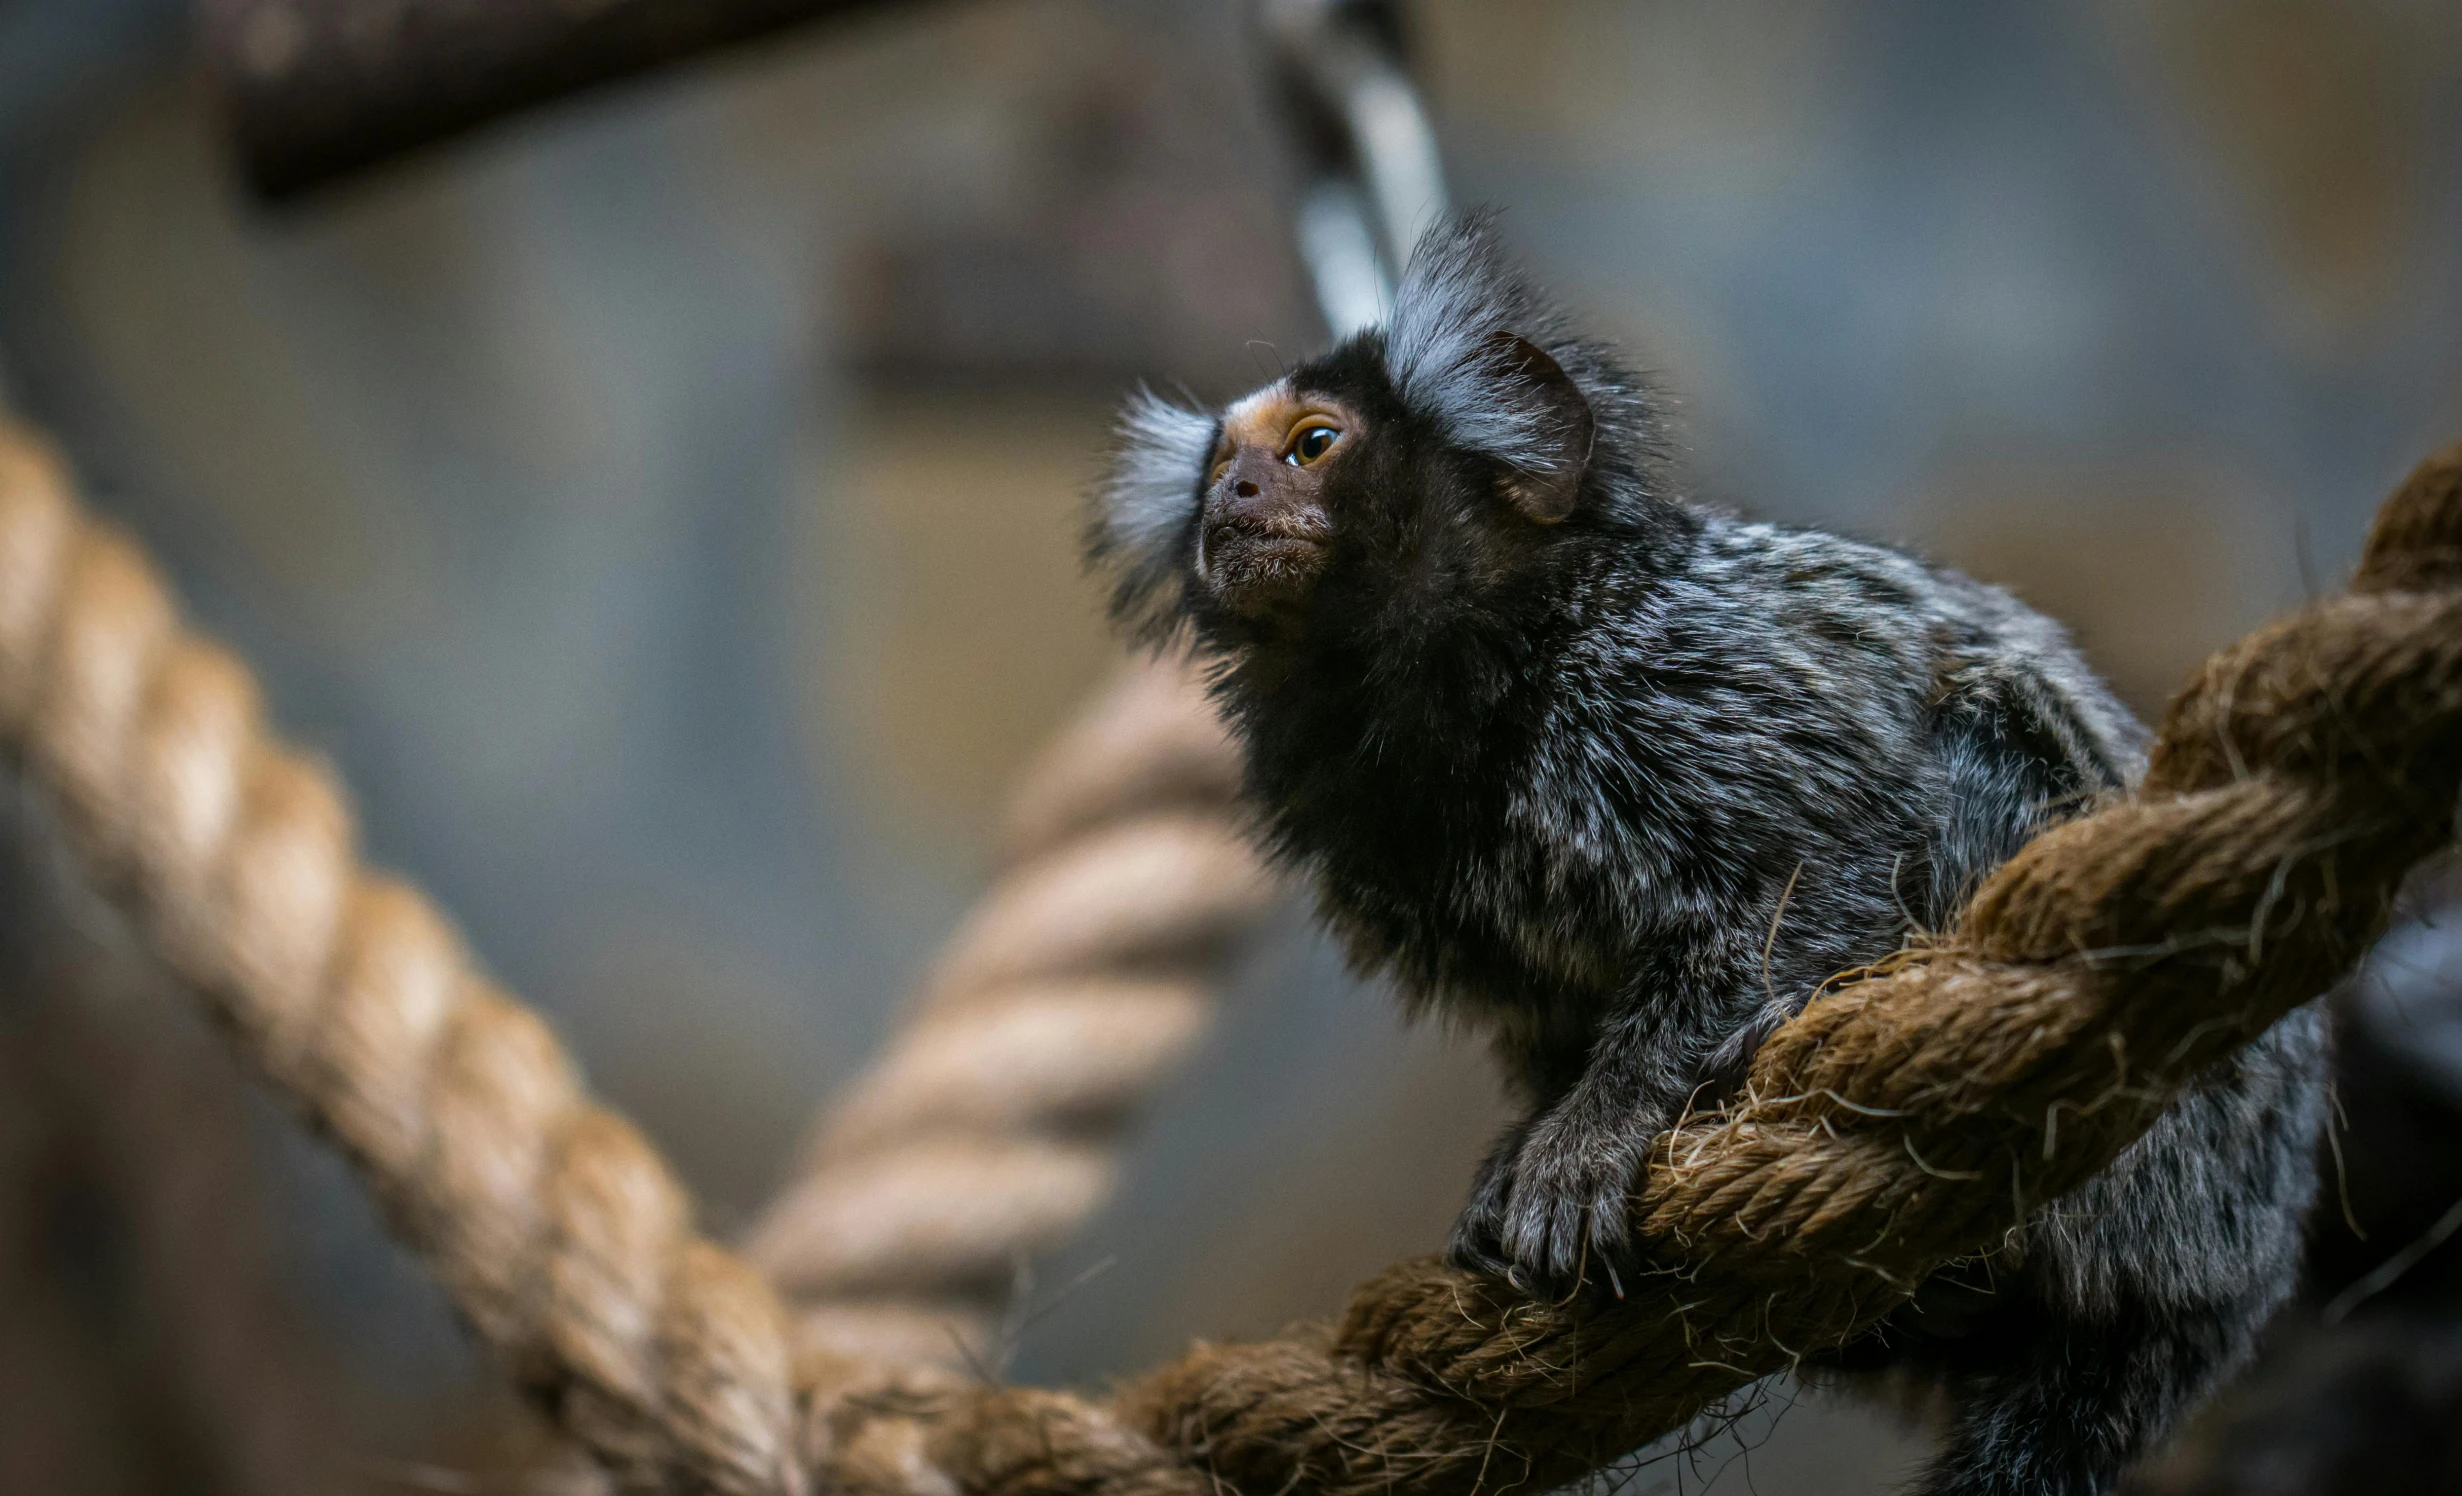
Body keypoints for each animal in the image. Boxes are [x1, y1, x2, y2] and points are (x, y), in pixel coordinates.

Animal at [1093, 212, 2324, 1496]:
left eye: (1312, 445)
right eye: (1216, 474)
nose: (1231, 496)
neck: (1487, 664)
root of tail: (2228, 1284)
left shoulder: (1672, 681)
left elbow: (1828, 859)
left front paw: (1602, 1123)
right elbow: (1549, 1015)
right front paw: (1528, 1139)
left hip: (2161, 1166)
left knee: (1980, 741)